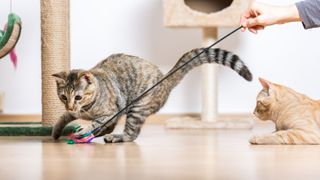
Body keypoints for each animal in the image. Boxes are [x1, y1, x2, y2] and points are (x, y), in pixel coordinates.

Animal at [53, 48, 252, 143]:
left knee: (131, 134)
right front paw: (56, 131)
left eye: (78, 97)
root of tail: (164, 79)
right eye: (64, 97)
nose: (71, 105)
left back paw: (116, 137)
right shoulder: (74, 112)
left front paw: (84, 130)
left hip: (136, 108)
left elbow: (95, 122)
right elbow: (63, 117)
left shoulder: (109, 112)